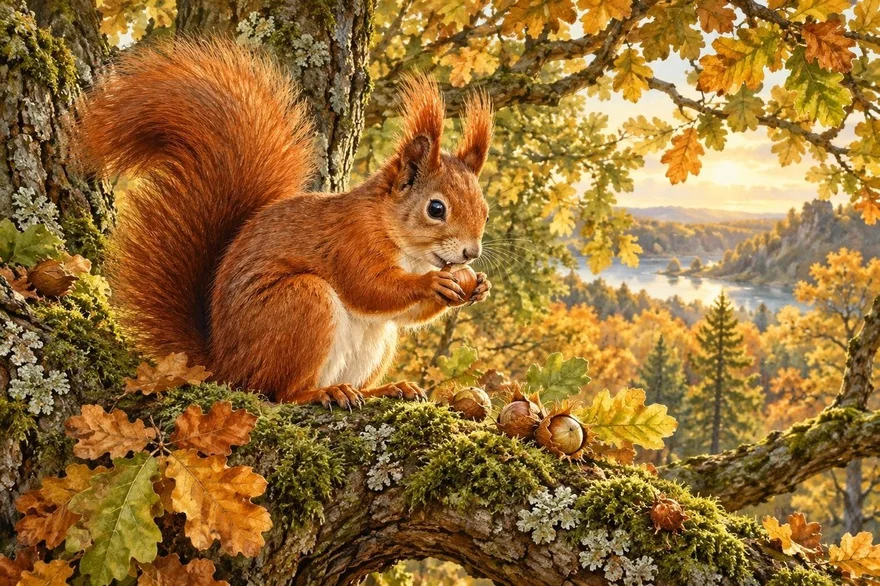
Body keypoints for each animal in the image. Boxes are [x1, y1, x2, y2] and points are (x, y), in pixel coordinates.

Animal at [75, 38, 494, 407]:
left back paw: (386, 389)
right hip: (302, 304)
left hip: (378, 342)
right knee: (280, 392)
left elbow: (405, 313)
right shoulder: (348, 241)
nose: (471, 254)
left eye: (485, 209)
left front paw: (478, 286)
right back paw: (324, 392)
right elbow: (370, 289)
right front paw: (432, 283)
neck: (400, 241)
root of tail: (224, 369)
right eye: (436, 209)